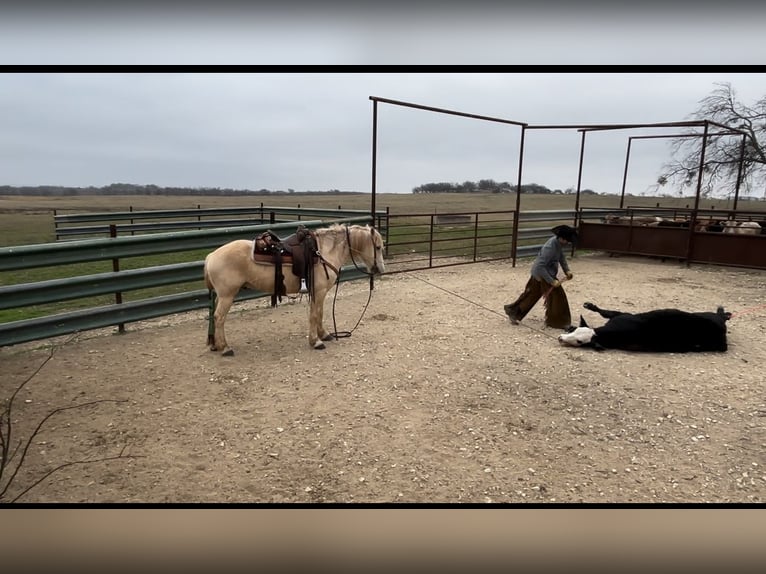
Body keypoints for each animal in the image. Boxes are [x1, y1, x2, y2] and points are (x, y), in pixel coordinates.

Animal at [204, 224, 388, 356]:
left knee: (214, 317)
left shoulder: (319, 293)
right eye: (378, 247)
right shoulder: (319, 292)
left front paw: (324, 335)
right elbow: (314, 315)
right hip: (227, 296)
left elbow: (320, 313)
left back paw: (215, 344)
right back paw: (225, 348)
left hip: (220, 296)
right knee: (219, 317)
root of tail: (210, 256)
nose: (381, 269)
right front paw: (316, 341)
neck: (324, 251)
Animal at [560, 304, 732, 354]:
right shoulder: (620, 316)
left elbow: (606, 312)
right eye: (573, 329)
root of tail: (720, 322)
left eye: (579, 341)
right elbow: (606, 312)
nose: (560, 338)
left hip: (719, 345)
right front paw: (589, 305)